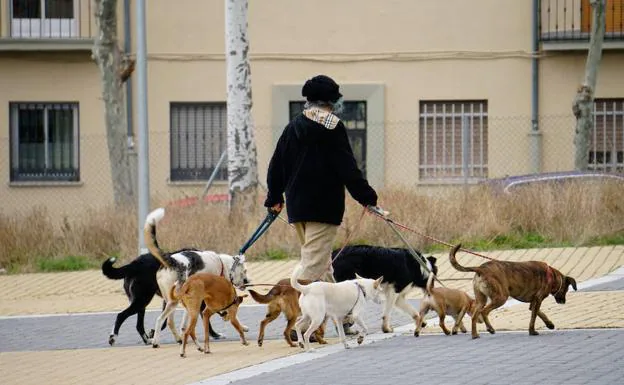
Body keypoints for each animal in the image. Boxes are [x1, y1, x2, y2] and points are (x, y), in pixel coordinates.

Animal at [448, 242, 576, 338]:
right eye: (566, 289)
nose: (563, 302)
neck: (552, 276)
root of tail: (481, 269)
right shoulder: (538, 300)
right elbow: (533, 318)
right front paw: (532, 331)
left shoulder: (534, 302)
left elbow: (539, 313)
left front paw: (549, 324)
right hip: (501, 297)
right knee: (484, 312)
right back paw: (489, 328)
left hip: (481, 300)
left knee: (475, 315)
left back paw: (475, 335)